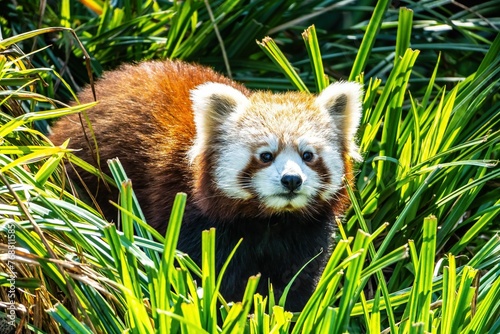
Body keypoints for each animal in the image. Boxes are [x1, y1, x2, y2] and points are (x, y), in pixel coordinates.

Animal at [49, 59, 364, 310]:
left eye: (308, 155)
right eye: (266, 155)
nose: (291, 180)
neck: (269, 220)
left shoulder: (304, 233)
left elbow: (297, 281)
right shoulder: (189, 213)